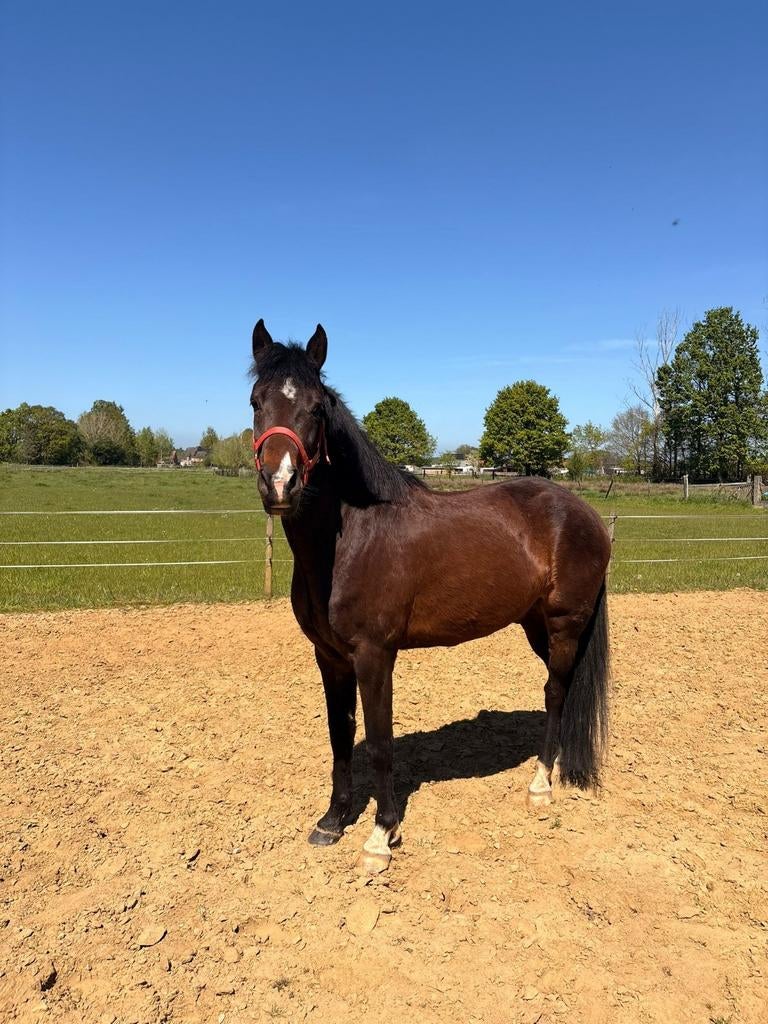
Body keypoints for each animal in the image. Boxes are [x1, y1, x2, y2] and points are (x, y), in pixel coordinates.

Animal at [249, 319, 611, 873]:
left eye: (316, 408)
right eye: (255, 402)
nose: (280, 483)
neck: (351, 537)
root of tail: (585, 512)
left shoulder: (375, 655)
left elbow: (379, 742)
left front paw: (381, 837)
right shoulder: (329, 657)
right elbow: (340, 736)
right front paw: (332, 821)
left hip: (565, 624)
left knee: (555, 692)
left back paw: (540, 787)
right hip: (536, 625)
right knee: (563, 691)